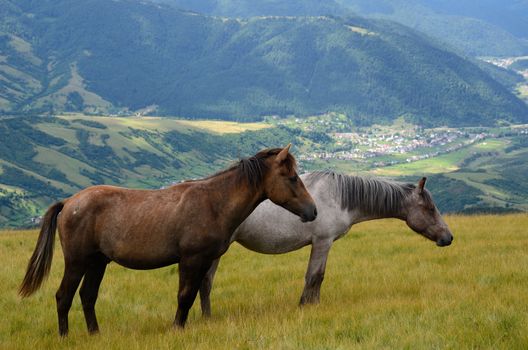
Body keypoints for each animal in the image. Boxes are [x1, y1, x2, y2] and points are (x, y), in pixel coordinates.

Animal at [19, 146, 318, 336]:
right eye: (292, 178)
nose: (313, 211)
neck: (214, 202)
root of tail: (70, 202)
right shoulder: (191, 259)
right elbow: (184, 296)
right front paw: (177, 329)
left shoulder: (203, 261)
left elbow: (194, 294)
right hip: (77, 261)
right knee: (64, 296)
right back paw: (65, 336)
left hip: (98, 262)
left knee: (87, 296)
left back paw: (95, 335)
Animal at [199, 170, 454, 314]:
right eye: (430, 208)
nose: (448, 238)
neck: (339, 196)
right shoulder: (322, 242)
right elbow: (314, 276)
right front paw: (305, 306)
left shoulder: (324, 244)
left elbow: (319, 277)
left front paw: (314, 305)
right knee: (206, 283)